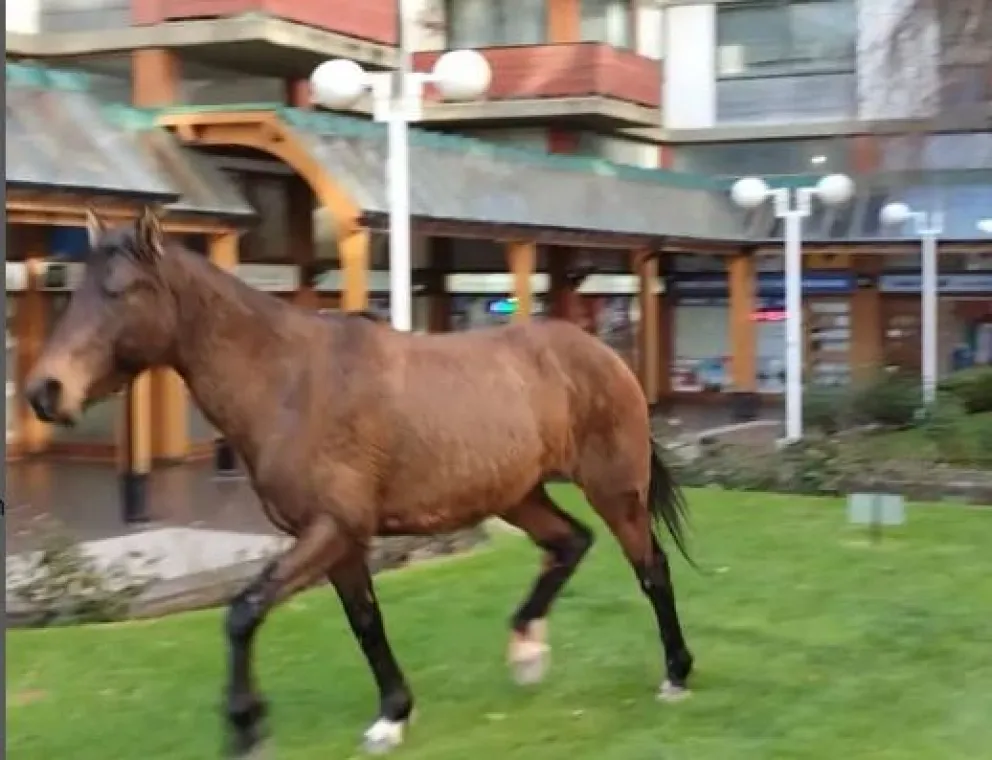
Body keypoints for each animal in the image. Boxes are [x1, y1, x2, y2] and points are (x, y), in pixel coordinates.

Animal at [25, 207, 696, 758]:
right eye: (73, 291)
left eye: (119, 291)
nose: (44, 391)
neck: (289, 382)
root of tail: (605, 355)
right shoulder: (338, 539)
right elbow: (365, 623)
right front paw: (392, 717)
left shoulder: (332, 527)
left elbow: (243, 612)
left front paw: (247, 726)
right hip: (516, 495)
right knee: (569, 543)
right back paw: (527, 650)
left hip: (614, 490)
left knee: (650, 567)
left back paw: (676, 674)